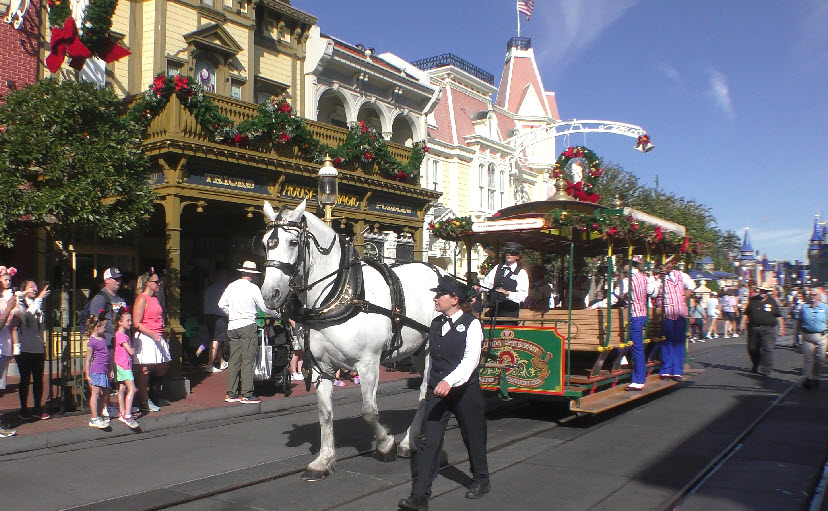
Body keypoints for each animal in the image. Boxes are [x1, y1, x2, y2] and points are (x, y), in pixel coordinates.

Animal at [260, 202, 444, 482]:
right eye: (264, 243)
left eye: (292, 242)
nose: (270, 294)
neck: (336, 295)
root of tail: (439, 271)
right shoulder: (320, 367)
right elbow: (325, 414)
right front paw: (323, 461)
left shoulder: (368, 362)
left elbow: (369, 410)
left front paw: (386, 444)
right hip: (418, 351)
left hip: (434, 348)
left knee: (426, 391)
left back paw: (406, 443)